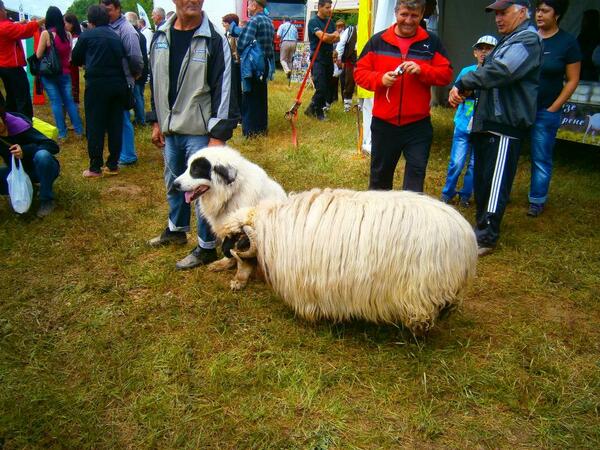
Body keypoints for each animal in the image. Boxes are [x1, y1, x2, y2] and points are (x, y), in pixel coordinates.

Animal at [172, 146, 288, 290]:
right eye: (188, 168)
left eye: (196, 170)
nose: (174, 184)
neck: (230, 194)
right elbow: (228, 248)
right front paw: (225, 263)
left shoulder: (246, 231)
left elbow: (241, 257)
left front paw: (239, 279)